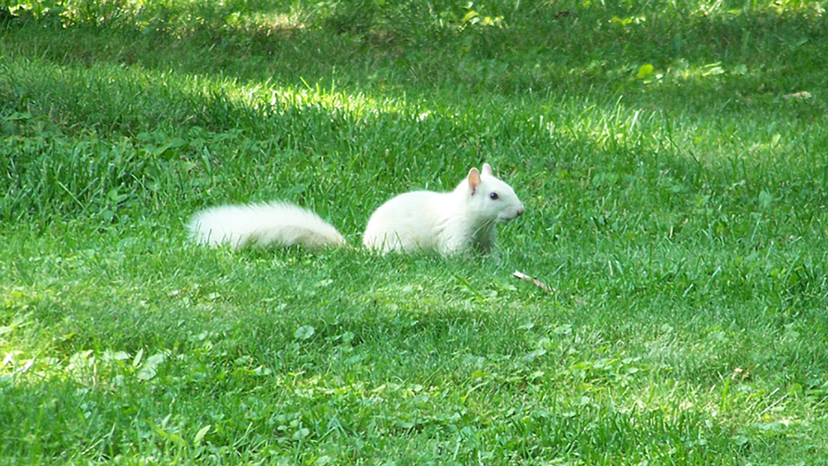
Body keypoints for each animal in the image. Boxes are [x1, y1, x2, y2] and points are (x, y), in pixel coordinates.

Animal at [189, 164, 524, 255]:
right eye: (494, 195)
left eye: (509, 186)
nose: (520, 211)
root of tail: (365, 248)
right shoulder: (454, 233)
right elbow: (456, 255)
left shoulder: (486, 237)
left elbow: (491, 253)